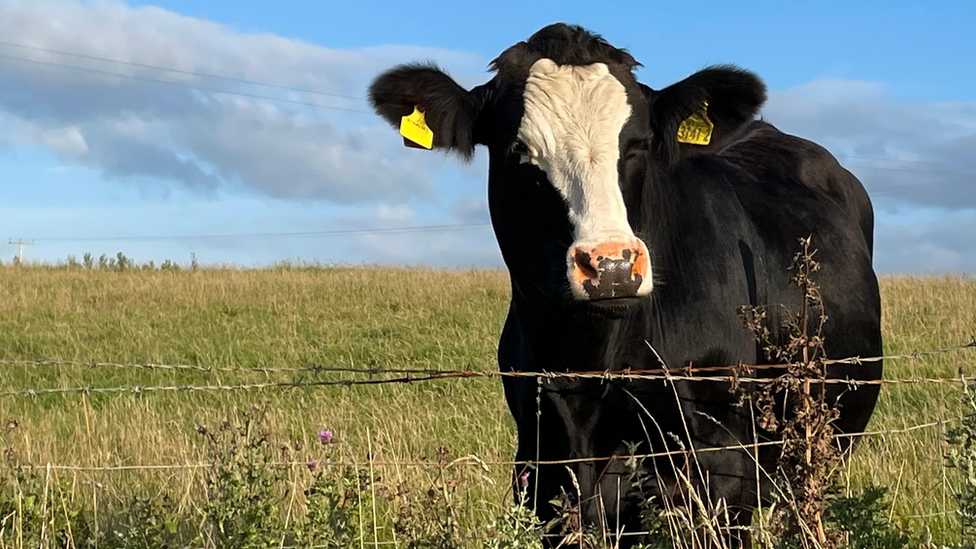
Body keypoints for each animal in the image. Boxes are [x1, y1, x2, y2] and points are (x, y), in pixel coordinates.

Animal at [368, 22, 884, 548]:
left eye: (637, 145)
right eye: (521, 152)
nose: (612, 266)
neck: (589, 364)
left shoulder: (722, 473)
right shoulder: (541, 469)